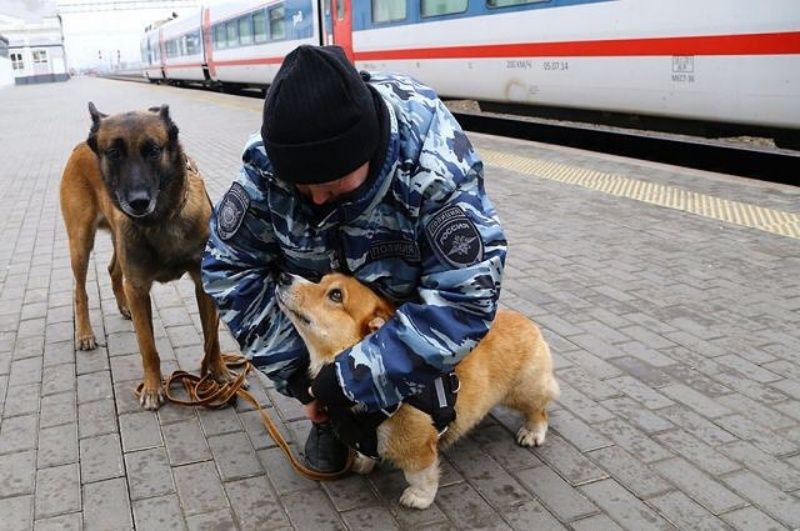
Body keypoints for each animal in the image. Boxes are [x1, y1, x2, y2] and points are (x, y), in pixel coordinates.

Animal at [61, 104, 231, 412]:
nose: (138, 202)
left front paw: (219, 373)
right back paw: (85, 333)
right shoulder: (139, 288)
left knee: (113, 270)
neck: (161, 220)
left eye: (153, 150)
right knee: (80, 290)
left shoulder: (203, 285)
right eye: (114, 152)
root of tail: (80, 146)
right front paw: (153, 388)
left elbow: (211, 340)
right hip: (80, 243)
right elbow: (148, 347)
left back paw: (122, 306)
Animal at [278, 272, 560, 510]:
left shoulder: (417, 446)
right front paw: (362, 462)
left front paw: (418, 498)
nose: (282, 276)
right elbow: (366, 451)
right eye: (320, 279)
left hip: (524, 390)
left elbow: (420, 474)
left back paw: (532, 433)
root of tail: (528, 322)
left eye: (336, 295)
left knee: (539, 410)